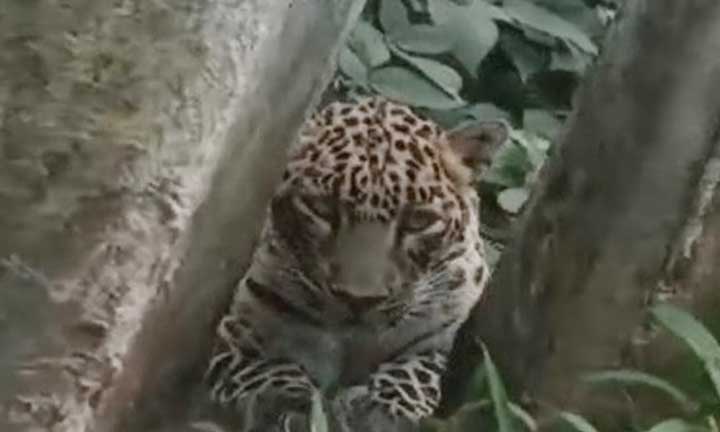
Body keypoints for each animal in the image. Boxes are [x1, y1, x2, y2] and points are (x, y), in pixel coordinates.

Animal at [204, 96, 508, 432]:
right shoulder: (231, 339)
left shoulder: (440, 341)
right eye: (321, 208)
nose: (359, 300)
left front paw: (383, 412)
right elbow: (267, 371)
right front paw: (296, 407)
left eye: (418, 222)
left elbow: (416, 374)